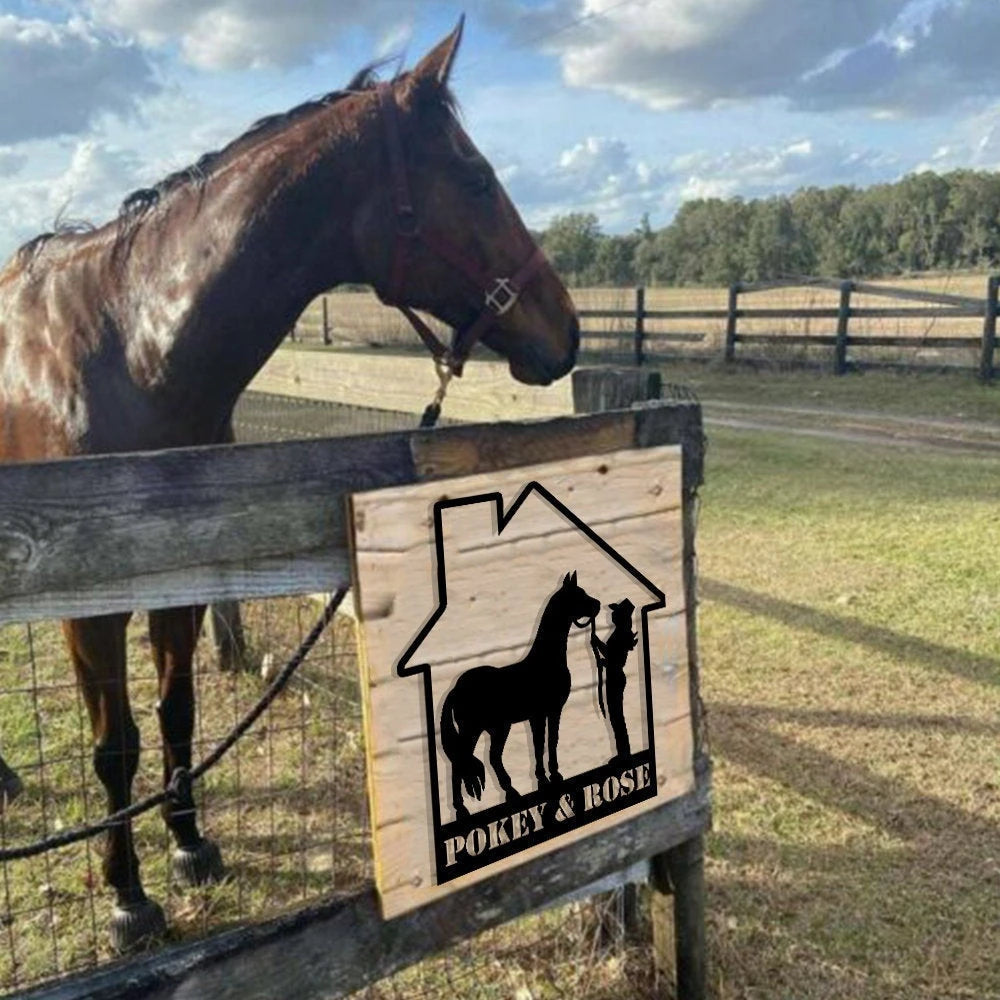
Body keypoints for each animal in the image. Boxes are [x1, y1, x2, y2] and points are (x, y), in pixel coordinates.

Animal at [0, 19, 578, 950]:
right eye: (476, 178)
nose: (567, 330)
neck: (129, 349)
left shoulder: (183, 581)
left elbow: (176, 712)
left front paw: (189, 844)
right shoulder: (87, 611)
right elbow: (115, 746)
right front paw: (126, 897)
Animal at [440, 572, 600, 821]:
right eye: (579, 595)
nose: (598, 605)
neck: (546, 662)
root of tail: (455, 689)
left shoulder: (538, 716)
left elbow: (540, 744)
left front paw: (544, 778)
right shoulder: (550, 711)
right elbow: (549, 742)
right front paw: (553, 776)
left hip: (492, 728)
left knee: (482, 758)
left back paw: (505, 794)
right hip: (480, 729)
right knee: (469, 761)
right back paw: (466, 808)